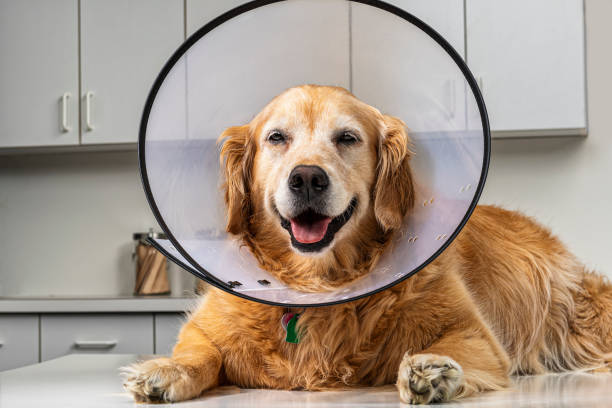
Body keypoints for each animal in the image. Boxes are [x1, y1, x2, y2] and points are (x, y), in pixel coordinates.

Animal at [123, 84, 612, 404]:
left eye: (348, 138)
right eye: (277, 137)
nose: (307, 178)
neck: (319, 289)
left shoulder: (478, 334)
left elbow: (454, 346)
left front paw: (433, 371)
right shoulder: (203, 328)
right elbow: (199, 353)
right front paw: (164, 371)